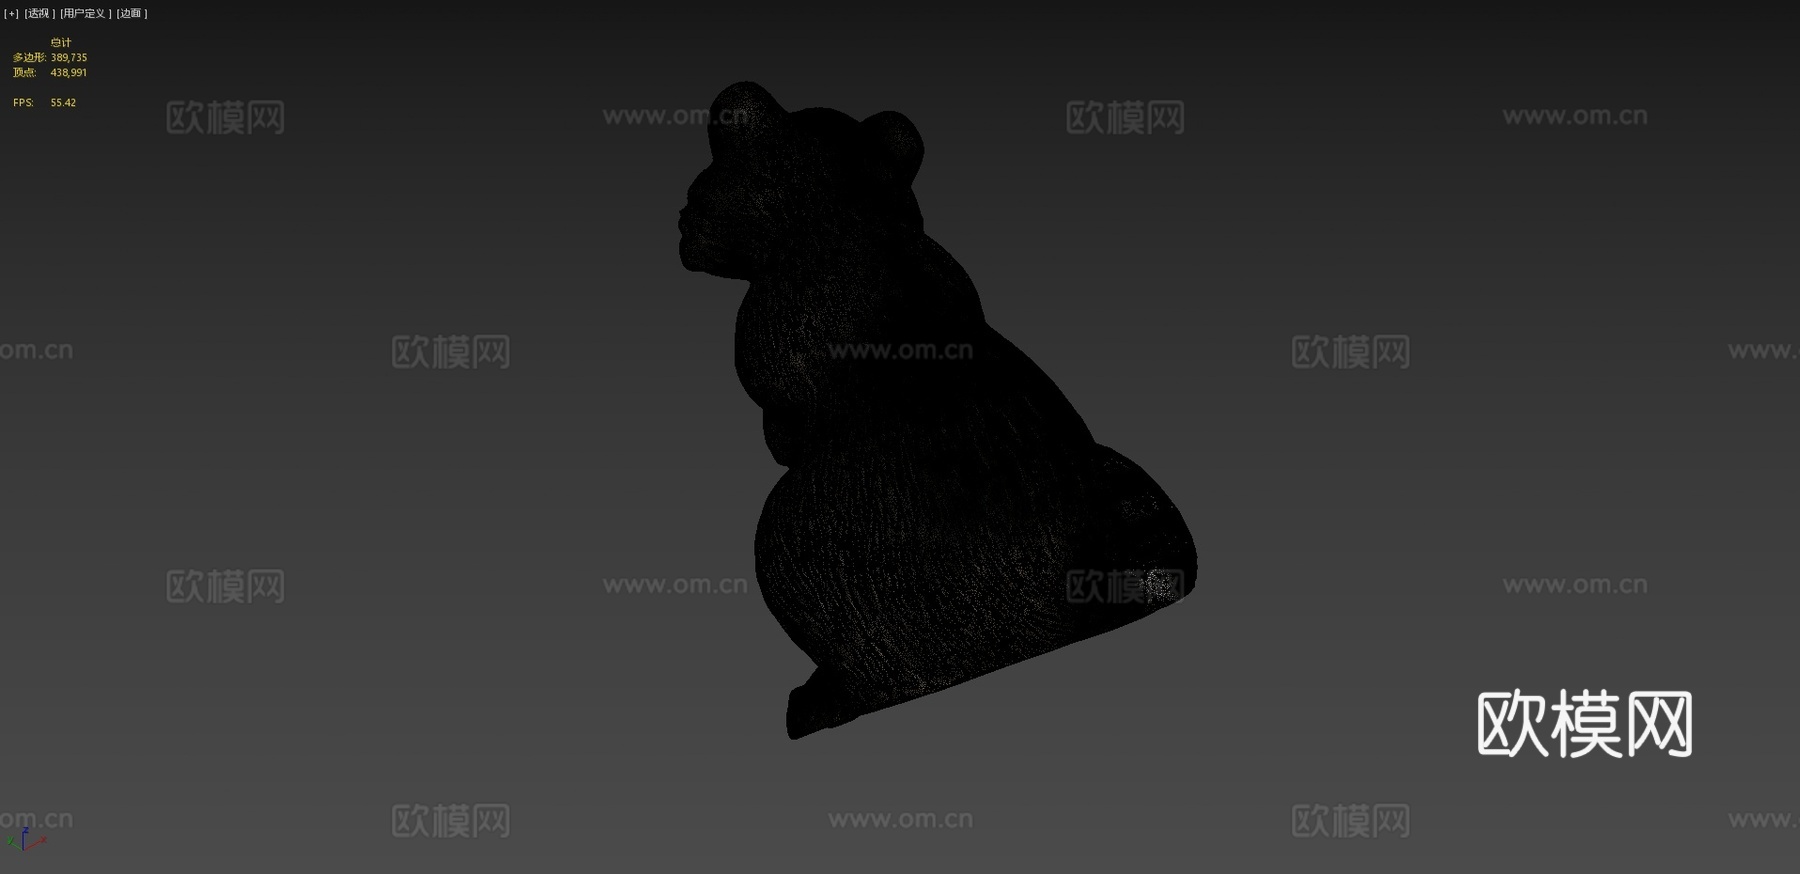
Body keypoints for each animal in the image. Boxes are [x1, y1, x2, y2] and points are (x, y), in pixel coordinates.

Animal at [679, 82, 1197, 738]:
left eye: (703, 188)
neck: (855, 214)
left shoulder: (775, 323)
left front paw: (781, 433)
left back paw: (821, 702)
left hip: (801, 539)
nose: (680, 222)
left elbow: (783, 398)